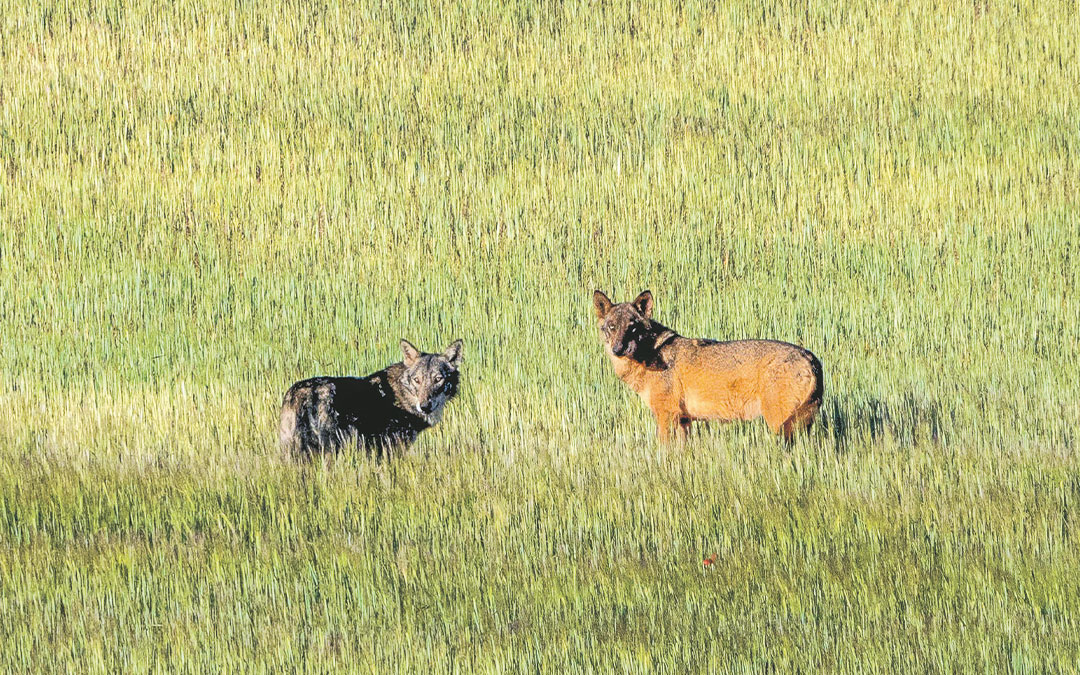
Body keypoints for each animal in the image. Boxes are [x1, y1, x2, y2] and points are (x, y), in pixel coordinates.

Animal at [593, 290, 822, 442]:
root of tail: (810, 357)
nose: (618, 349)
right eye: (612, 327)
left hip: (779, 425)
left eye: (632, 328)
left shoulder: (666, 416)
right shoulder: (684, 421)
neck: (650, 355)